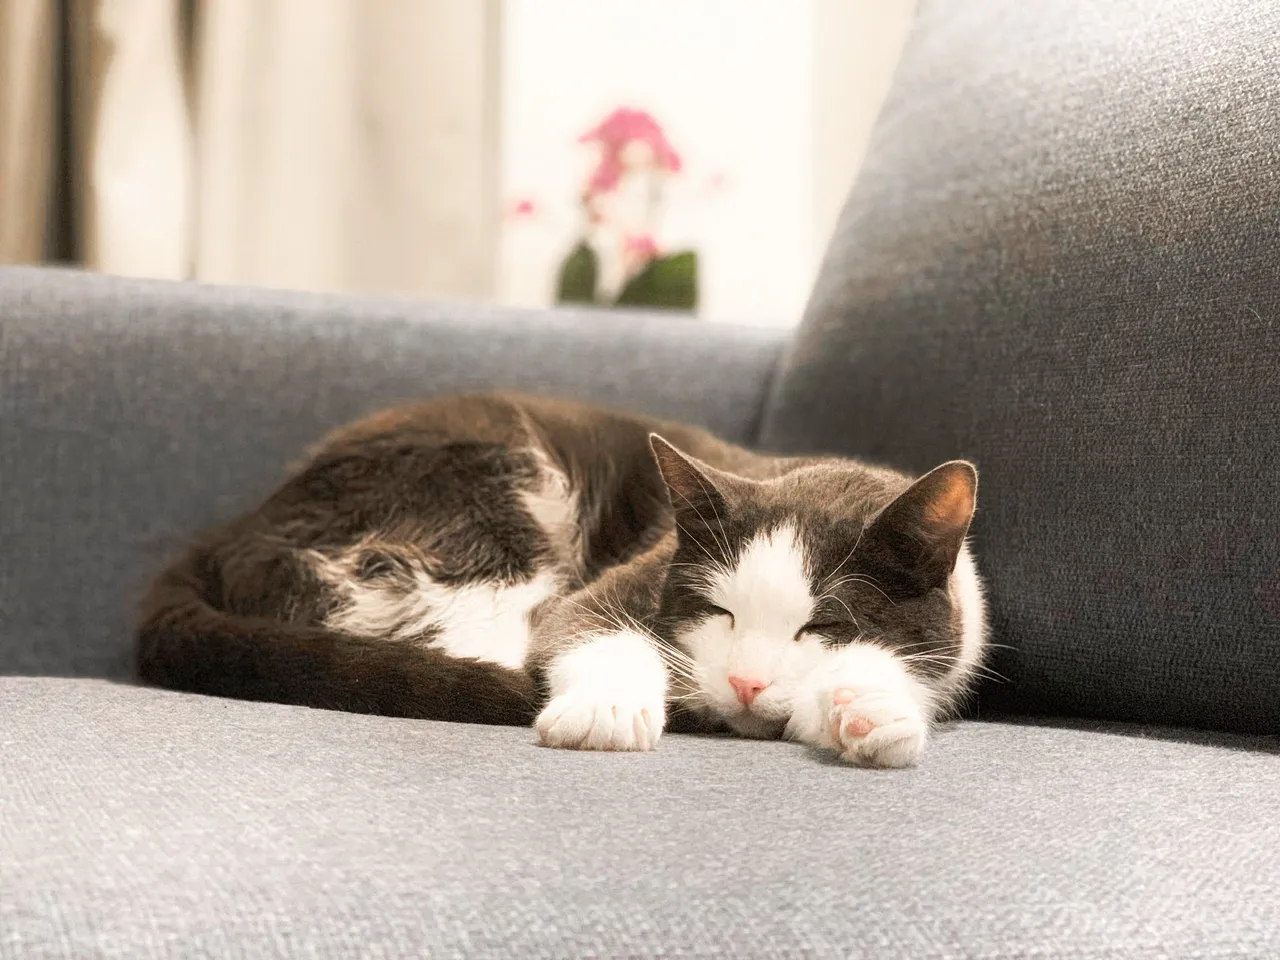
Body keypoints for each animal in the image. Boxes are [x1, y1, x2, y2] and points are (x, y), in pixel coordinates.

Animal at [137, 391, 988, 768]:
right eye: (717, 612)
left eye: (825, 626)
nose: (745, 684)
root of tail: (232, 531)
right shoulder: (631, 573)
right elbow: (588, 627)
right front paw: (606, 710)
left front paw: (868, 710)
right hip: (477, 503)